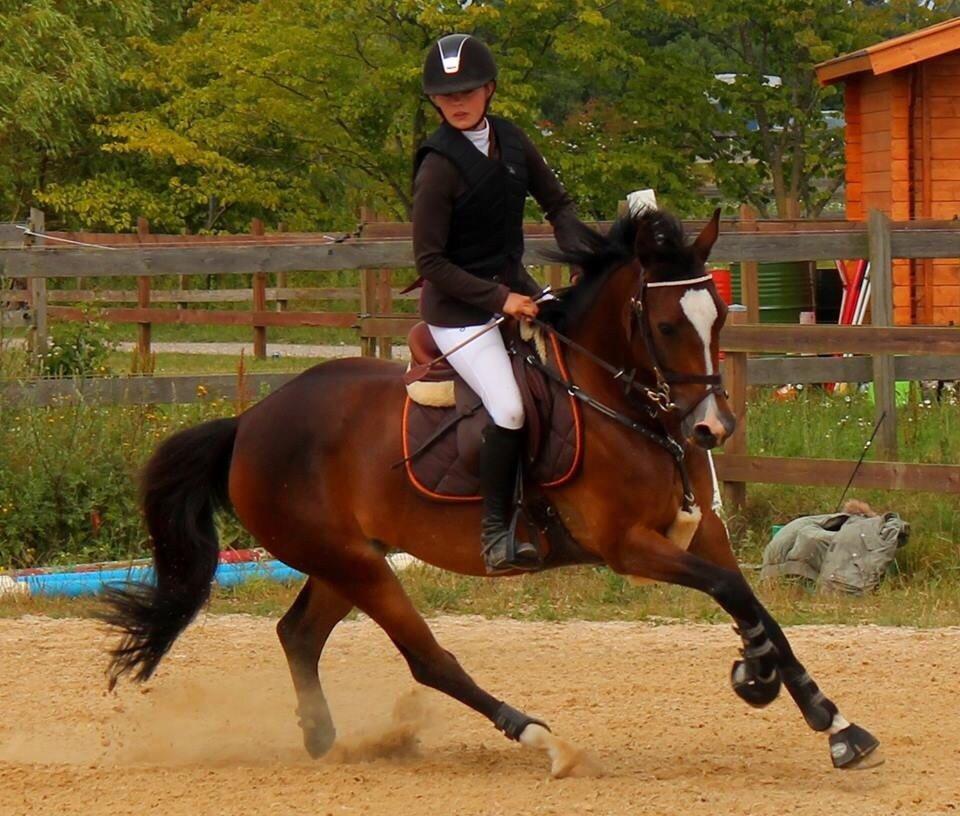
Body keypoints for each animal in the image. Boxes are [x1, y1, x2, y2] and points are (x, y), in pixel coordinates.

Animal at [102, 209, 879, 775]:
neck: (625, 405)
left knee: (298, 633)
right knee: (427, 659)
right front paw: (758, 676)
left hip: (345, 558)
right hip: (356, 564)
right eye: (663, 325)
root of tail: (248, 423)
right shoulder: (628, 546)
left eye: (715, 315)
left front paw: (830, 720)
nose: (712, 427)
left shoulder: (700, 529)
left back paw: (323, 738)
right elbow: (729, 589)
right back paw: (539, 737)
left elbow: (751, 600)